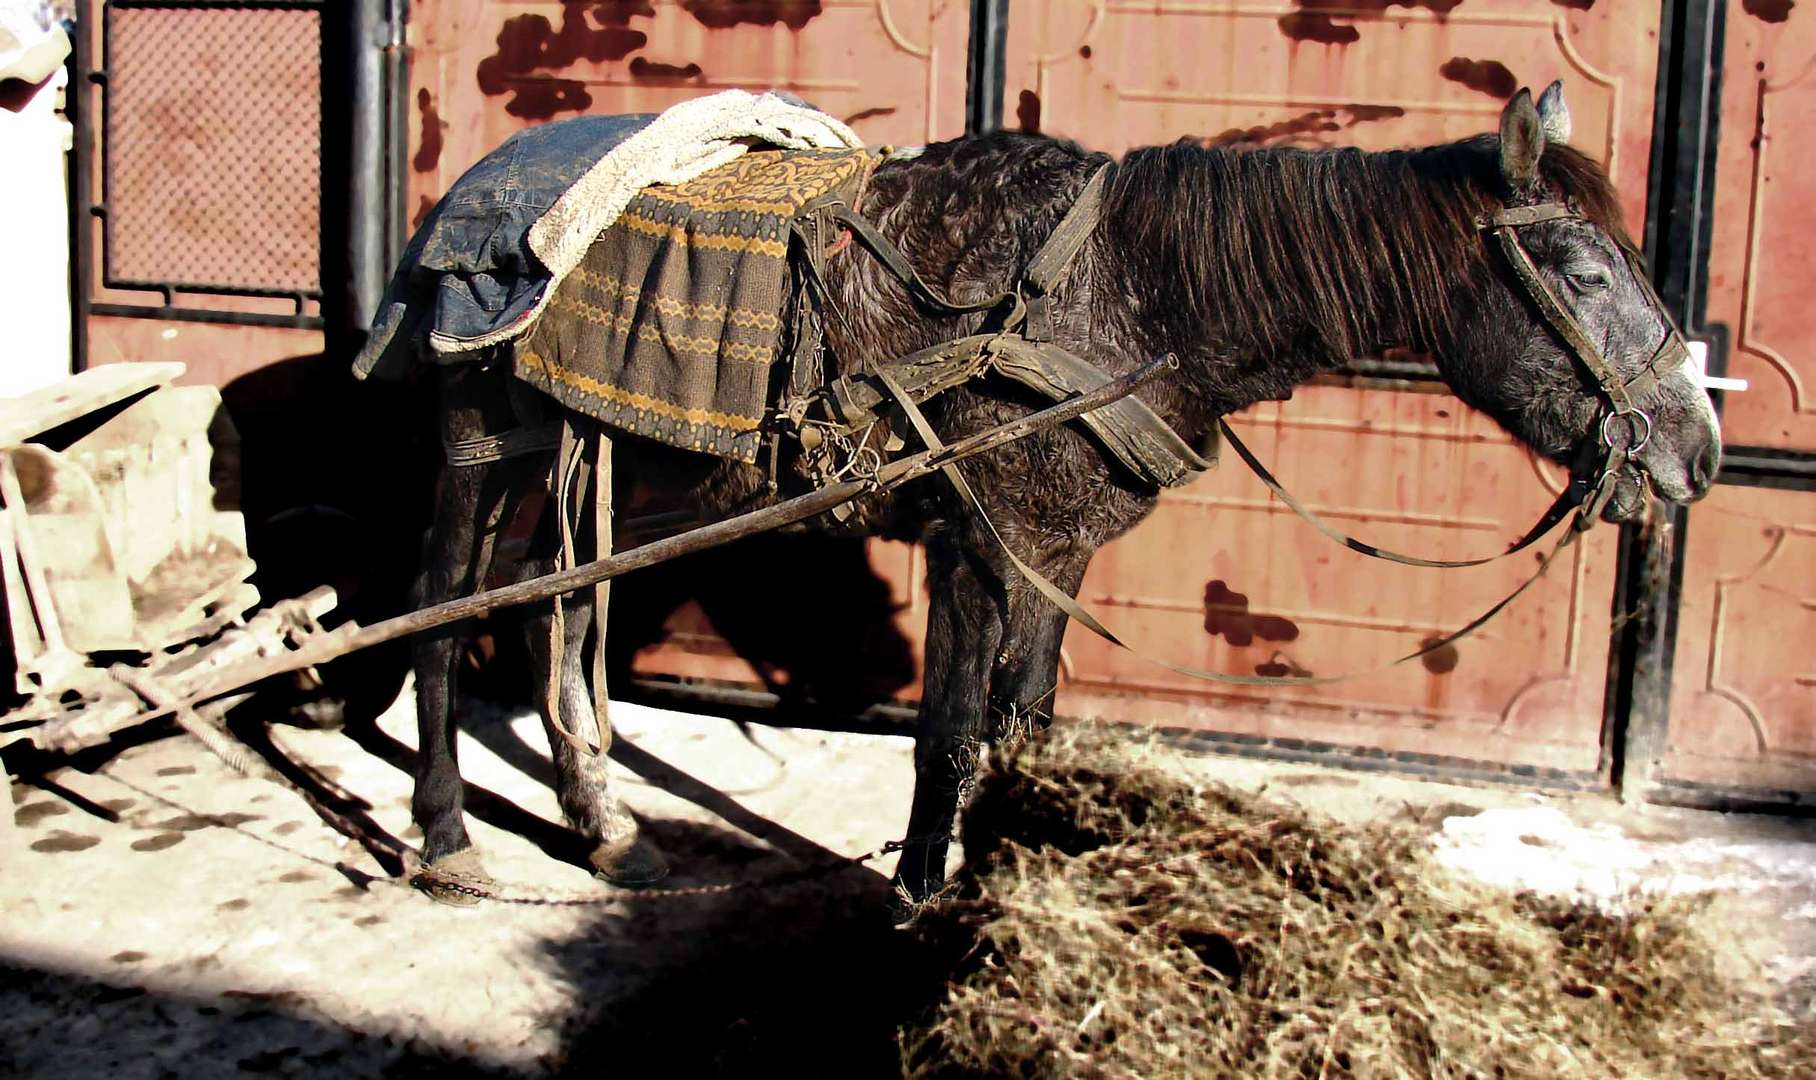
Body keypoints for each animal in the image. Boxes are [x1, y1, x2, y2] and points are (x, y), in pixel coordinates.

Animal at [397, 84, 1714, 907]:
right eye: (1582, 269)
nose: (1694, 453)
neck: (1120, 291)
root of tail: (472, 186)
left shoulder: (1060, 549)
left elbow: (1020, 723)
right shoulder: (980, 547)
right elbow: (944, 740)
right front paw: (920, 901)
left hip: (592, 471)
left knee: (546, 609)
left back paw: (602, 827)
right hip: (476, 451)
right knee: (443, 621)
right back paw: (448, 833)